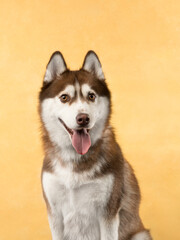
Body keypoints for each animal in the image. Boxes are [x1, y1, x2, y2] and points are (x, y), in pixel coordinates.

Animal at [39, 50, 152, 238]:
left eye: (91, 96)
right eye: (64, 97)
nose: (83, 118)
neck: (76, 158)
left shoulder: (108, 212)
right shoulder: (54, 213)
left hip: (140, 234)